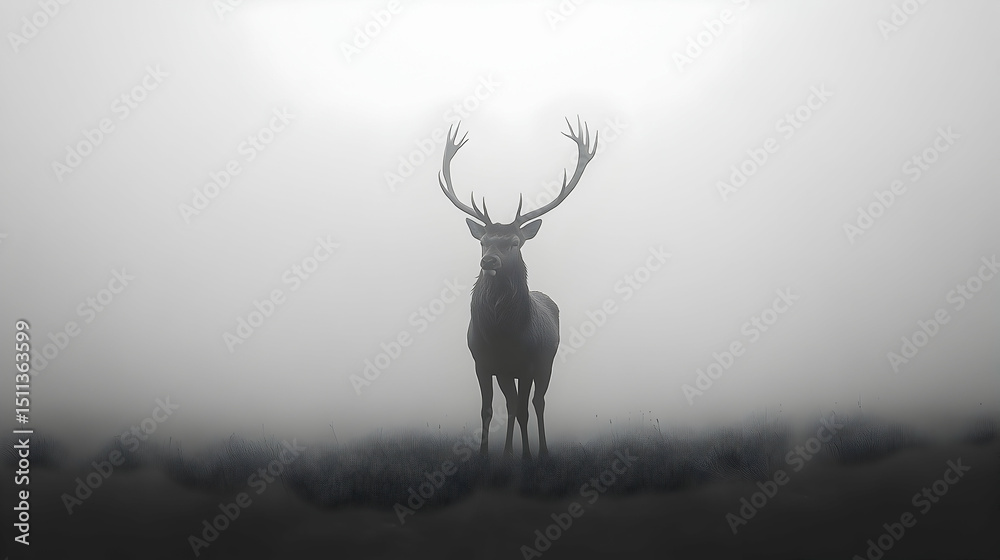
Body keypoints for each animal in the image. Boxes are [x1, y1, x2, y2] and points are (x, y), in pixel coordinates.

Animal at [437, 117, 598, 459]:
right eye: (483, 241)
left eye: (514, 242)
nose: (489, 261)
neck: (502, 334)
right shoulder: (483, 363)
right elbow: (488, 410)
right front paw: (485, 456)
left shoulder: (528, 363)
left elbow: (526, 408)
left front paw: (527, 456)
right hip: (507, 372)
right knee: (511, 404)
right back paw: (509, 451)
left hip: (547, 363)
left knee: (536, 403)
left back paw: (541, 452)